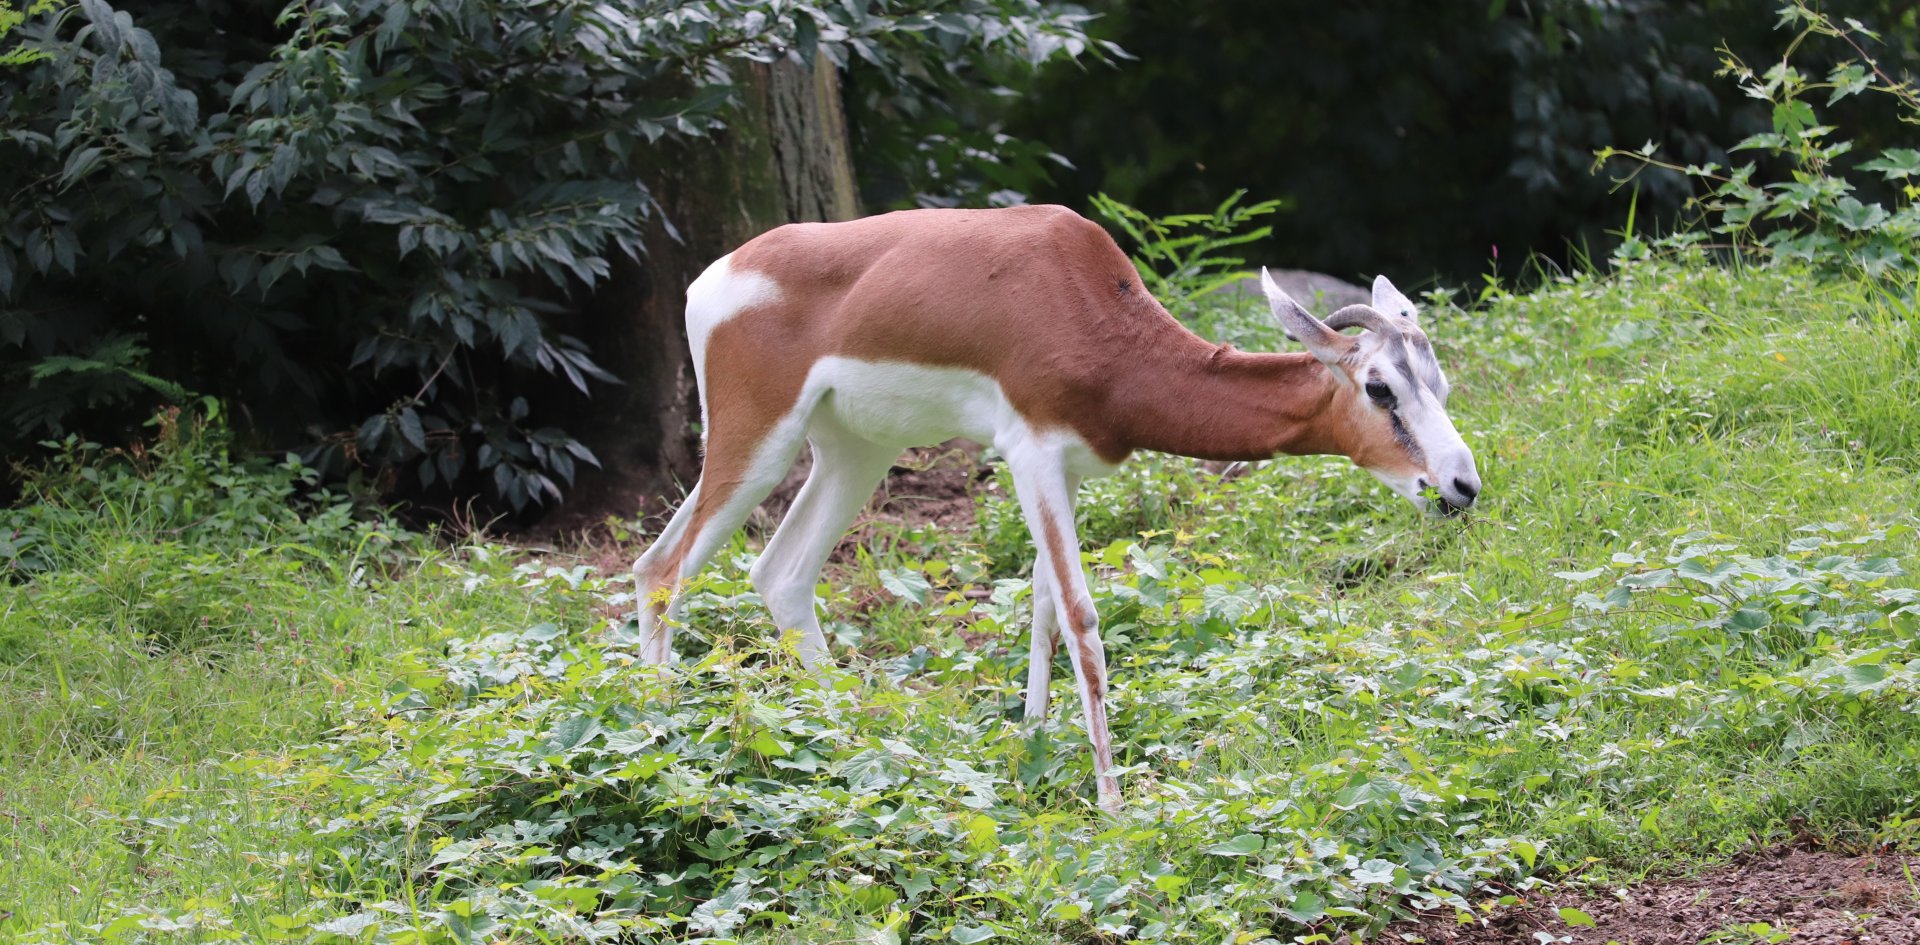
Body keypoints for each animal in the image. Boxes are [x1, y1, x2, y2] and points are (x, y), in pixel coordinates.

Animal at [632, 204, 1480, 811]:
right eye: (1380, 387)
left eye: (1439, 383)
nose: (1462, 485)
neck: (1098, 321)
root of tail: (712, 279)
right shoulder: (1030, 452)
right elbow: (1081, 615)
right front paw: (1110, 800)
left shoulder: (1067, 469)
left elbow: (1040, 606)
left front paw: (1031, 743)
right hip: (759, 437)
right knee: (665, 566)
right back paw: (663, 737)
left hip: (851, 450)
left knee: (770, 574)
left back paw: (854, 738)